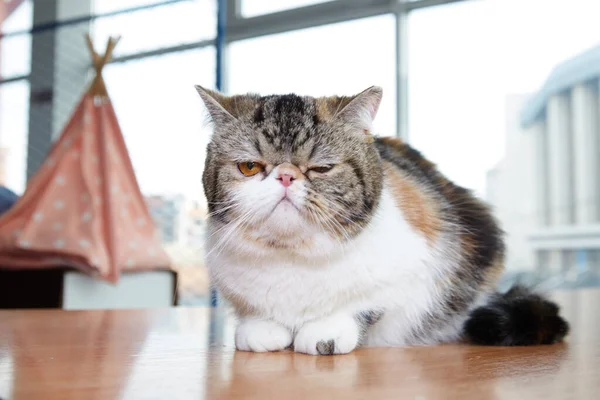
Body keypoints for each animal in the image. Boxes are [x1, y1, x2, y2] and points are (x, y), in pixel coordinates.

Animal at [196, 85, 568, 356]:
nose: (286, 176)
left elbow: (364, 305)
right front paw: (261, 328)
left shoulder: (418, 267)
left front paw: (327, 330)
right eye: (249, 167)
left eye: (322, 168)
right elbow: (254, 311)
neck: (292, 258)